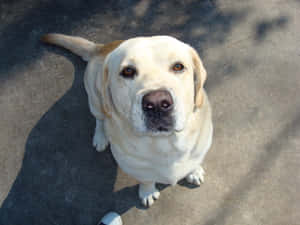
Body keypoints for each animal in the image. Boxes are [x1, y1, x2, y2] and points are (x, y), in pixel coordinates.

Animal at [41, 32, 213, 207]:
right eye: (128, 71)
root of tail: (101, 47)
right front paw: (147, 192)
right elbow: (146, 180)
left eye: (178, 66)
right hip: (95, 99)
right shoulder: (136, 168)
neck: (165, 144)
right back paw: (101, 137)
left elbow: (194, 162)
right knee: (100, 119)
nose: (157, 103)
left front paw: (194, 171)